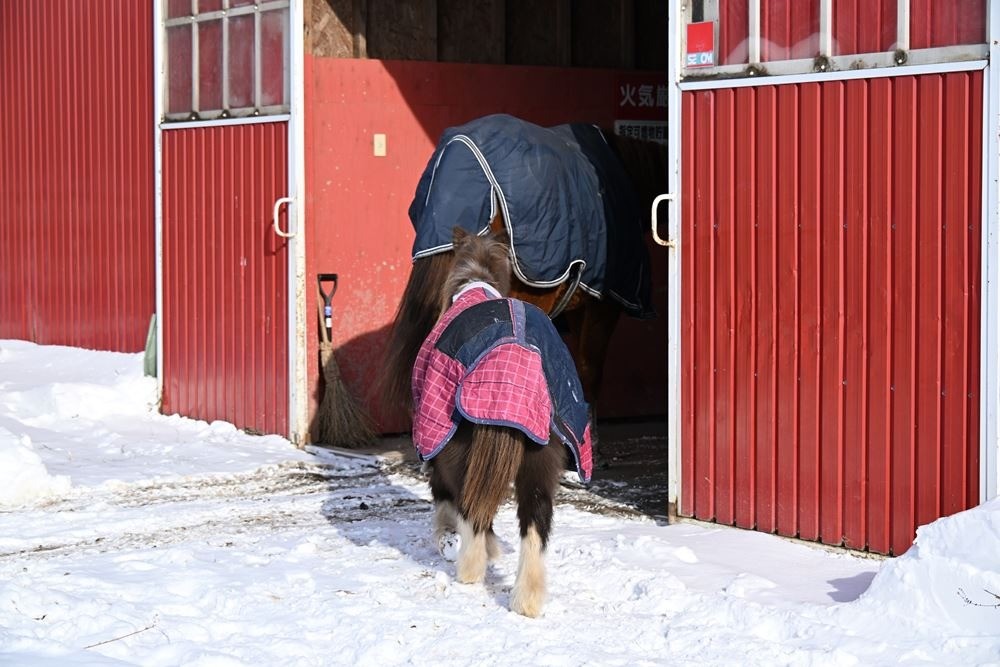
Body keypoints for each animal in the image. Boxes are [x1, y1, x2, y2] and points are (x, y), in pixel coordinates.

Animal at [414, 227, 592, 620]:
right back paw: (527, 601)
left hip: (459, 453)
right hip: (541, 464)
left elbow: (446, 499)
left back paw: (469, 569)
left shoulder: (436, 442)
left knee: (470, 507)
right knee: (535, 525)